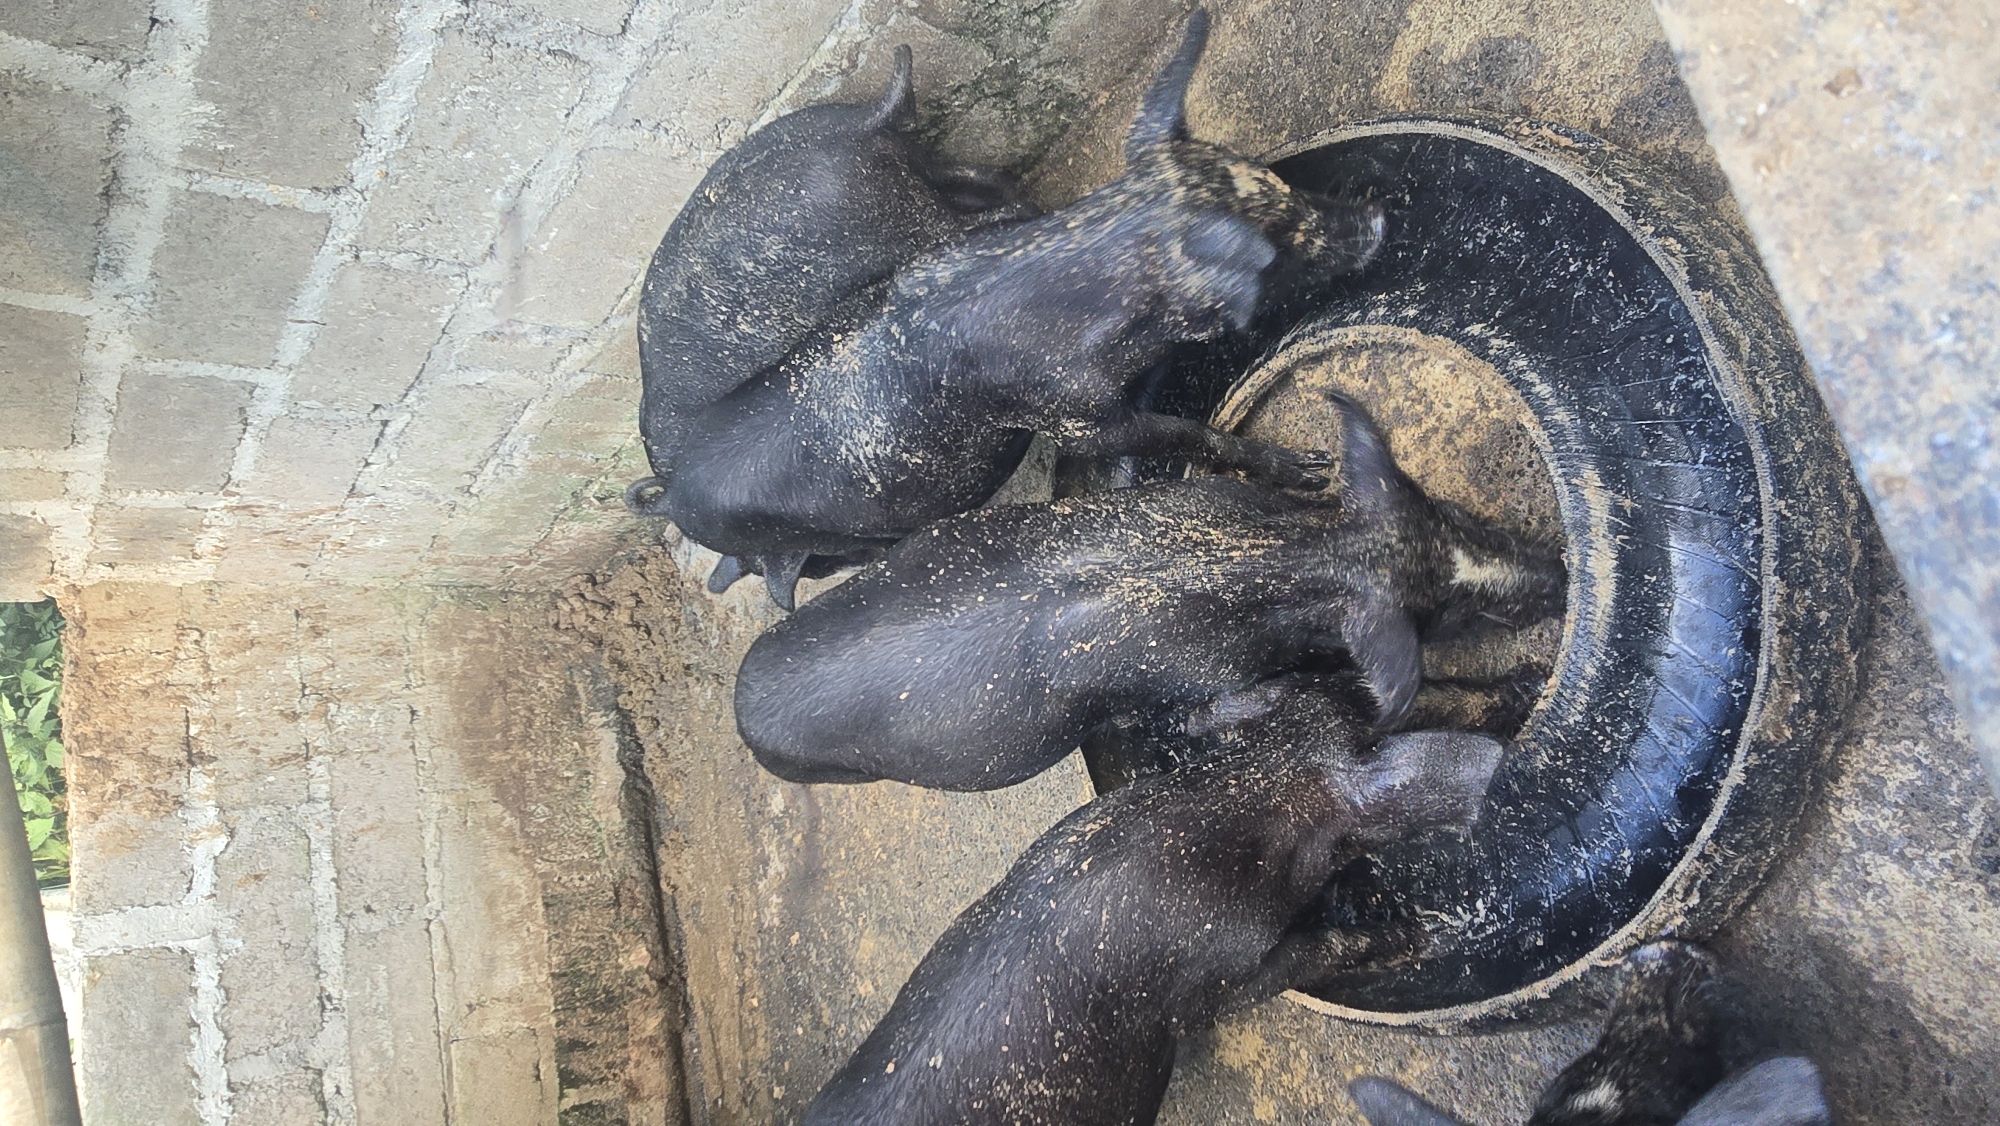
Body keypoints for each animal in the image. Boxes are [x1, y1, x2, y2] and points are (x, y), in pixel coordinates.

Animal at [733, 393, 1565, 791]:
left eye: (1457, 513)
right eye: (1449, 613)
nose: (1558, 576)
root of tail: (741, 702)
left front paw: (1311, 469)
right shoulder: (1201, 677)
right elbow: (1232, 710)